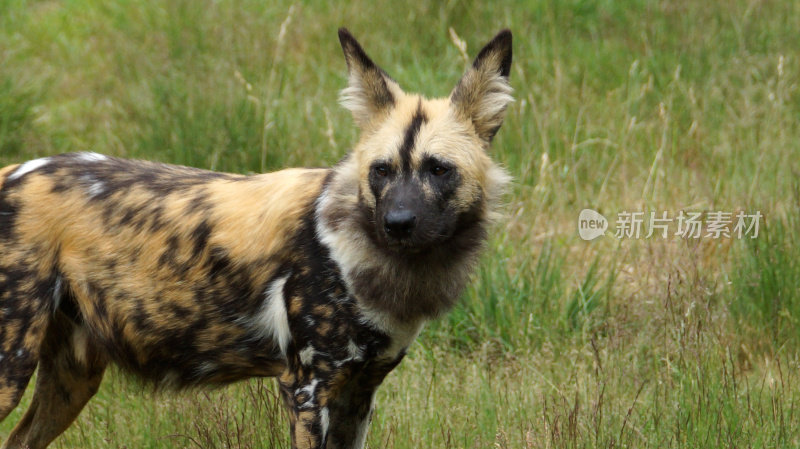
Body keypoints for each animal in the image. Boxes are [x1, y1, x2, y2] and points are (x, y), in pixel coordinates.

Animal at [0, 28, 512, 448]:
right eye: (381, 170)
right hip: (13, 365)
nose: (398, 222)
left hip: (73, 378)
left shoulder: (358, 391)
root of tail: (11, 171)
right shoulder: (307, 389)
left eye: (439, 169)